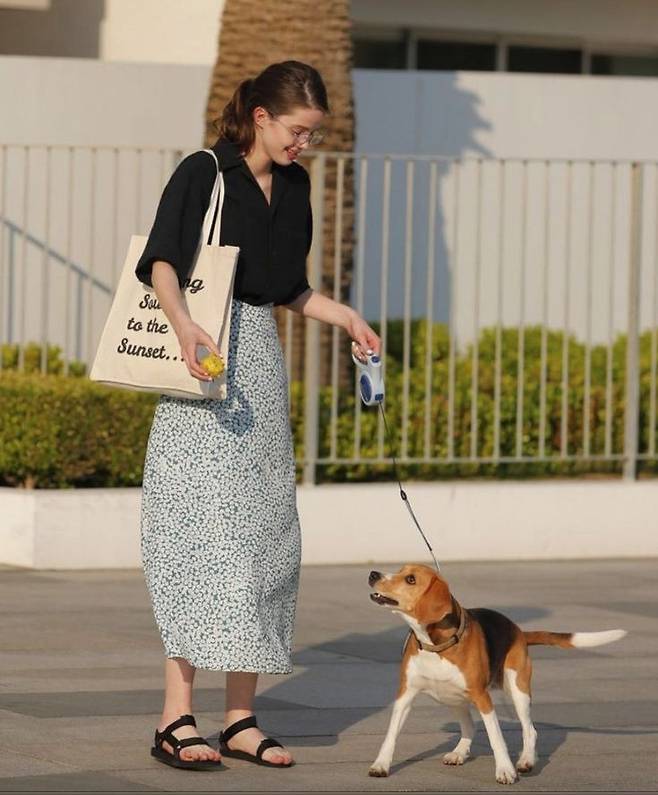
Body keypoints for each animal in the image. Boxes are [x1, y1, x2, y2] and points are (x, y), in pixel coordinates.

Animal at [367, 564, 626, 785]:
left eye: (410, 579)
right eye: (400, 570)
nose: (373, 574)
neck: (436, 645)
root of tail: (518, 630)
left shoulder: (483, 698)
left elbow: (496, 737)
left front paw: (505, 770)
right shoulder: (405, 694)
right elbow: (391, 735)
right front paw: (381, 765)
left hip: (518, 689)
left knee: (529, 730)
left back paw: (526, 761)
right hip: (452, 697)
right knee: (469, 727)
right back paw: (459, 753)